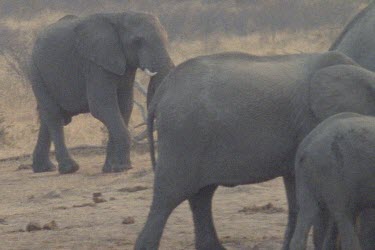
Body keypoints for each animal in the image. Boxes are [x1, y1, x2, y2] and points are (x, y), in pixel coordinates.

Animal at [29, 11, 175, 174]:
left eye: (167, 37)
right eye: (137, 41)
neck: (120, 16)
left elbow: (125, 106)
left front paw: (111, 169)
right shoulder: (95, 63)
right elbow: (102, 106)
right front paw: (123, 167)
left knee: (47, 117)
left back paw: (44, 168)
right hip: (36, 72)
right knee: (54, 116)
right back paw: (69, 168)